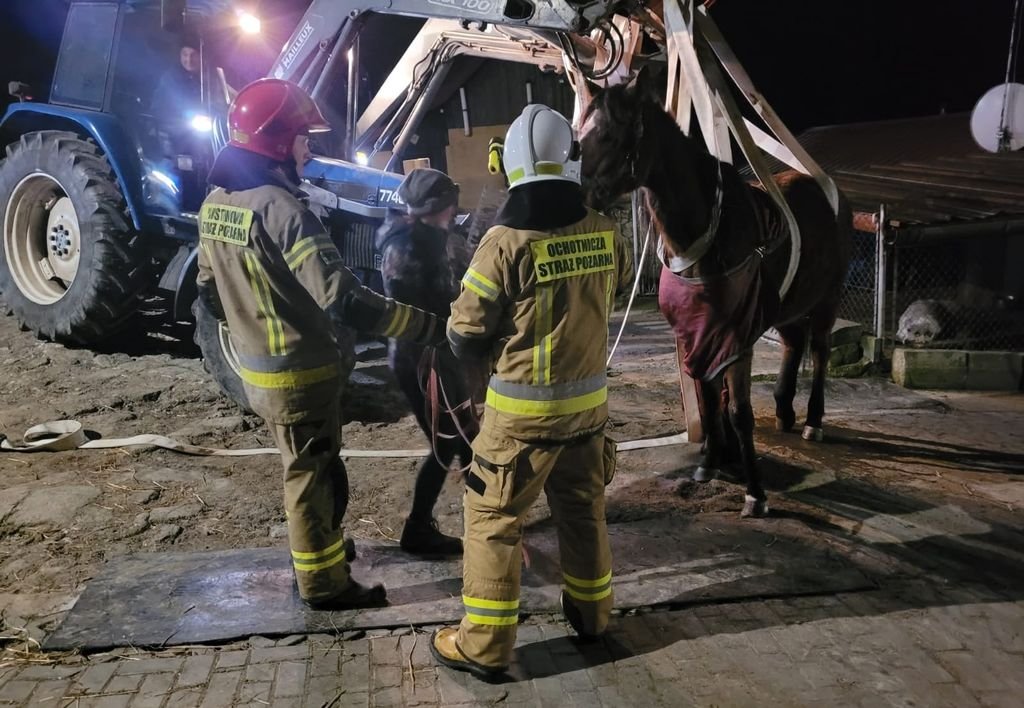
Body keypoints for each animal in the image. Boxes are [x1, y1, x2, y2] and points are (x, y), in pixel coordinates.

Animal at [581, 82, 851, 518]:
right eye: (578, 133)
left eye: (608, 135)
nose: (575, 193)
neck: (706, 238)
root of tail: (831, 193)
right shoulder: (696, 332)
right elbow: (707, 398)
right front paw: (710, 462)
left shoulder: (737, 338)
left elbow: (739, 412)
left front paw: (755, 493)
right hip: (788, 306)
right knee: (794, 344)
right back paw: (784, 410)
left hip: (827, 297)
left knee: (821, 351)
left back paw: (814, 420)